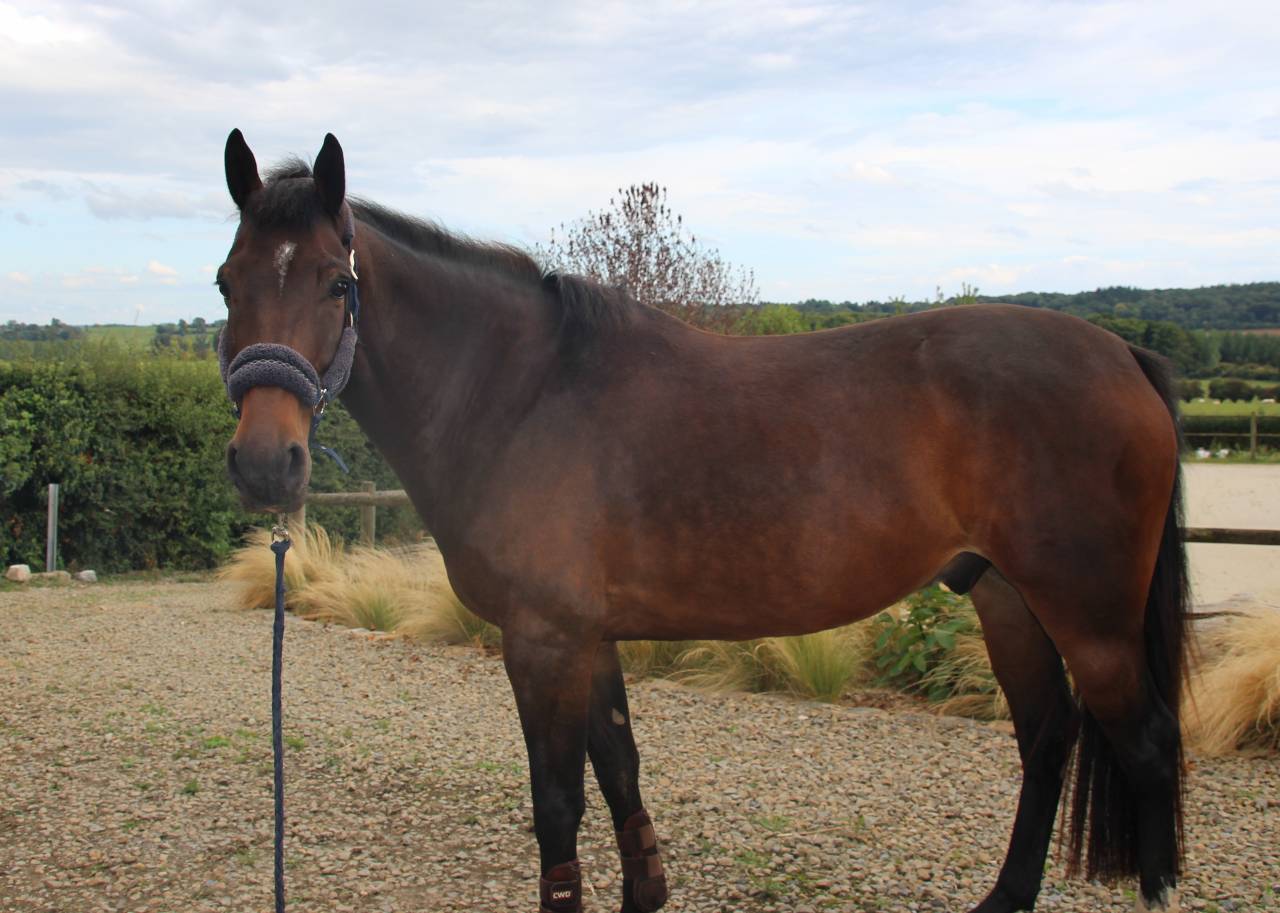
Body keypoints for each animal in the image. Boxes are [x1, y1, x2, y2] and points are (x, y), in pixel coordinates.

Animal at [216, 130, 1190, 913]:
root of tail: (1121, 352)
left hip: (1089, 615)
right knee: (1048, 736)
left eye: (335, 282)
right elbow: (619, 768)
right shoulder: (588, 636)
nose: (266, 463)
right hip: (1004, 597)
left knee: (1143, 745)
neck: (521, 392)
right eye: (227, 282)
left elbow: (558, 803)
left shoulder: (542, 640)